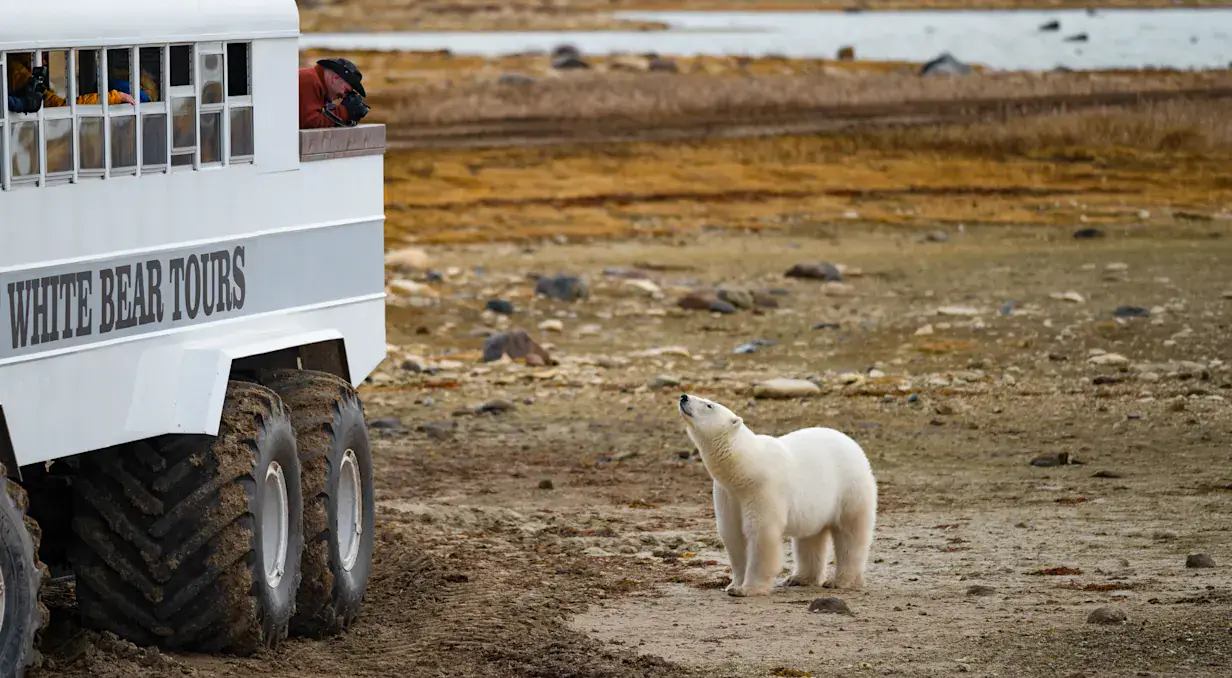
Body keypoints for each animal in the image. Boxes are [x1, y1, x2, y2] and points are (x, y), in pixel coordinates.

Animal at [677, 393, 878, 597]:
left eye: (709, 405)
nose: (684, 397)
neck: (746, 468)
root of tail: (855, 446)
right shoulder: (728, 494)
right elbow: (732, 534)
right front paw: (733, 585)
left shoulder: (763, 488)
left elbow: (761, 533)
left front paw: (748, 589)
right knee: (811, 537)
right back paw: (800, 578)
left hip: (850, 488)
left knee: (850, 534)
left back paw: (841, 581)